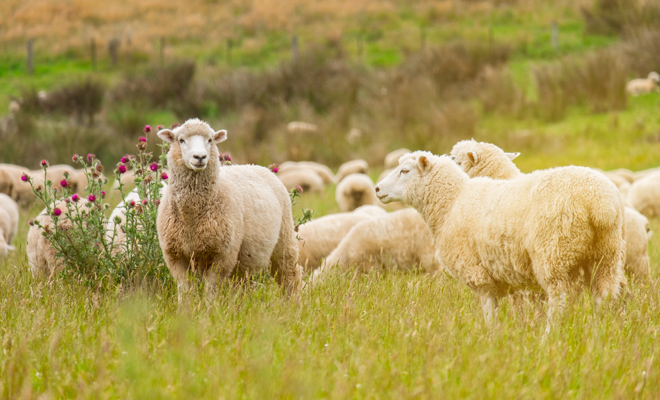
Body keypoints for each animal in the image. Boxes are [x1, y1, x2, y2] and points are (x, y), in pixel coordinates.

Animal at [156, 118, 301, 303]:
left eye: (210, 140)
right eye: (181, 140)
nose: (200, 157)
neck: (192, 218)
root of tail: (256, 166)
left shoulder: (223, 255)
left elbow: (210, 288)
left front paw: (208, 308)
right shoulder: (174, 254)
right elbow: (185, 289)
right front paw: (185, 309)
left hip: (284, 239)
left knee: (289, 274)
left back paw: (293, 302)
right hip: (244, 261)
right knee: (243, 284)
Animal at [376, 151, 626, 330]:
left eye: (405, 170)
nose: (377, 189)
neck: (452, 202)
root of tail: (599, 202)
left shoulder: (478, 273)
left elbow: (489, 312)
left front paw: (491, 340)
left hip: (554, 253)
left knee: (559, 301)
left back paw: (548, 339)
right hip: (607, 255)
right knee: (604, 297)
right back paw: (598, 335)